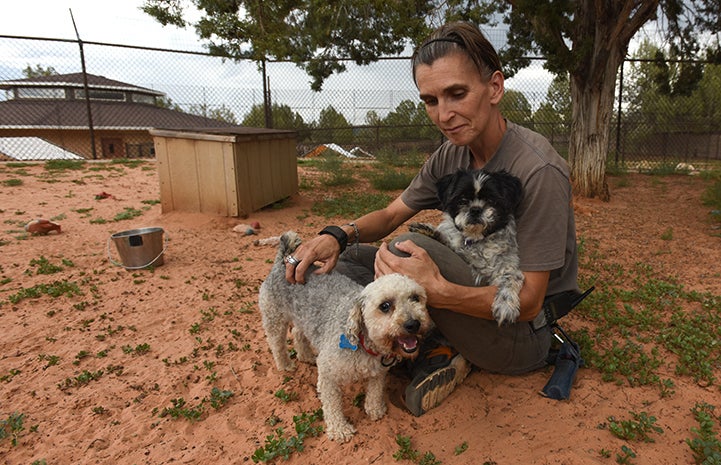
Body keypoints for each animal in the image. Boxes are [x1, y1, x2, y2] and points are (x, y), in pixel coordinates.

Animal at [258, 230, 430, 440]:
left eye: (415, 298)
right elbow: (332, 404)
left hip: (303, 317)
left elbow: (375, 391)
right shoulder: (327, 373)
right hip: (274, 317)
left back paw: (306, 356)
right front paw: (339, 429)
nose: (413, 324)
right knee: (277, 343)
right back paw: (285, 365)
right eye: (385, 306)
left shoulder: (378, 372)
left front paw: (375, 409)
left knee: (298, 333)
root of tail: (281, 262)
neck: (363, 342)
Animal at [410, 169, 524, 324]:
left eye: (491, 200)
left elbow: (510, 278)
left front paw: (505, 305)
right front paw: (430, 230)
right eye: (462, 200)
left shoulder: (507, 266)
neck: (476, 240)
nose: (475, 209)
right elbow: (449, 241)